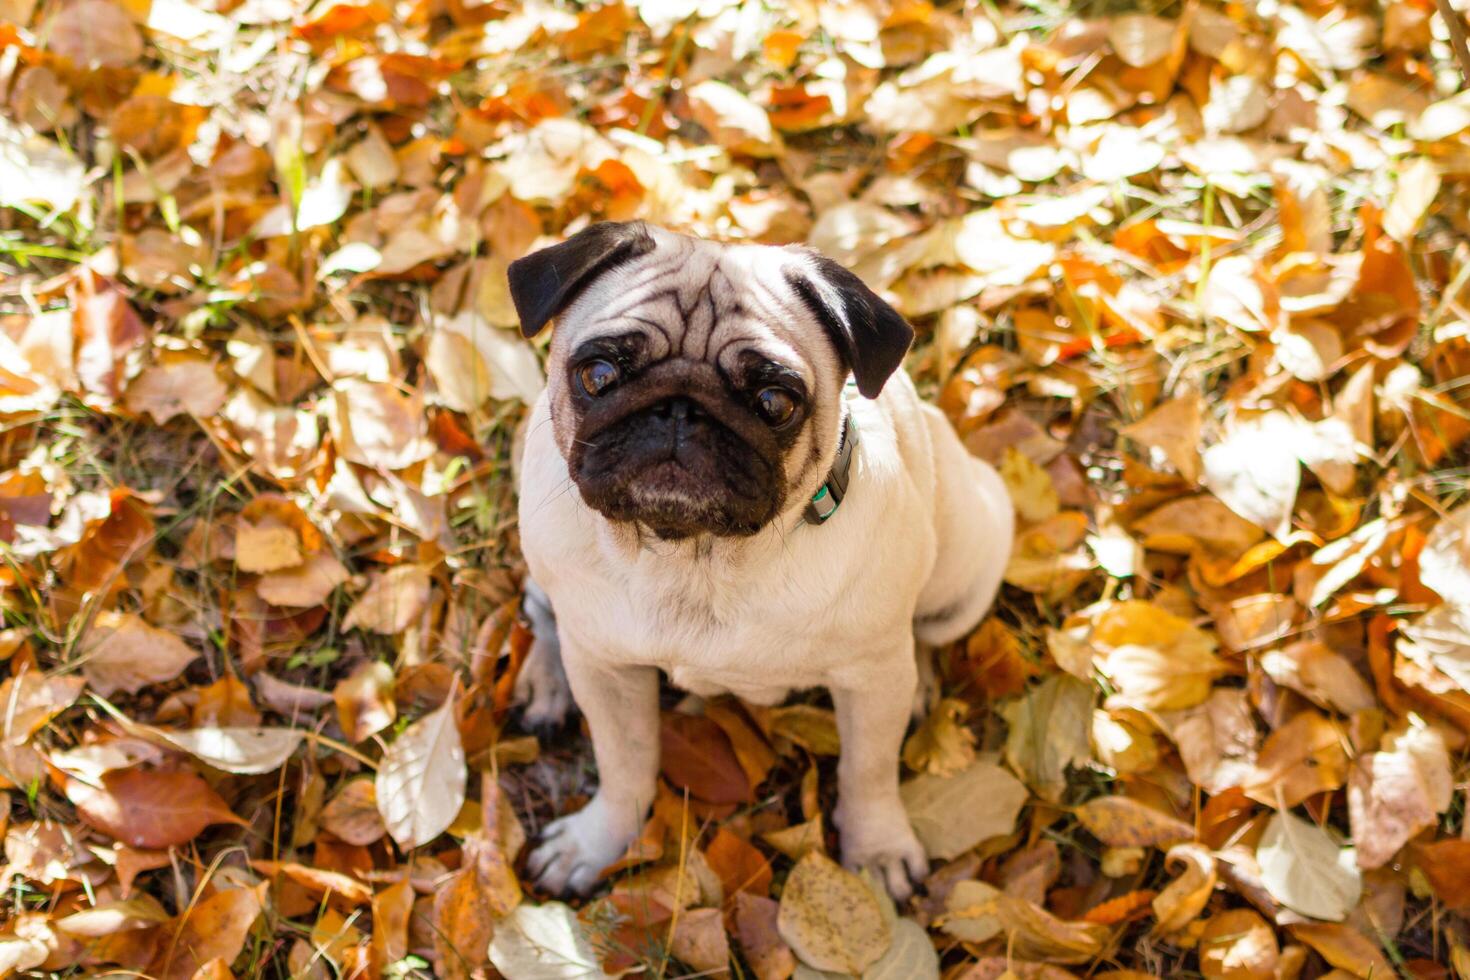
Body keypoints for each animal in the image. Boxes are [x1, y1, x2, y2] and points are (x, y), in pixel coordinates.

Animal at [508, 224, 1011, 905]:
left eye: (775, 401)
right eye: (600, 373)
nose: (680, 410)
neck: (694, 557)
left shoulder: (871, 681)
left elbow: (868, 772)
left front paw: (877, 852)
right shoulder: (607, 672)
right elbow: (624, 763)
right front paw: (598, 843)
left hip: (965, 561)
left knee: (927, 633)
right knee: (547, 614)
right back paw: (547, 680)